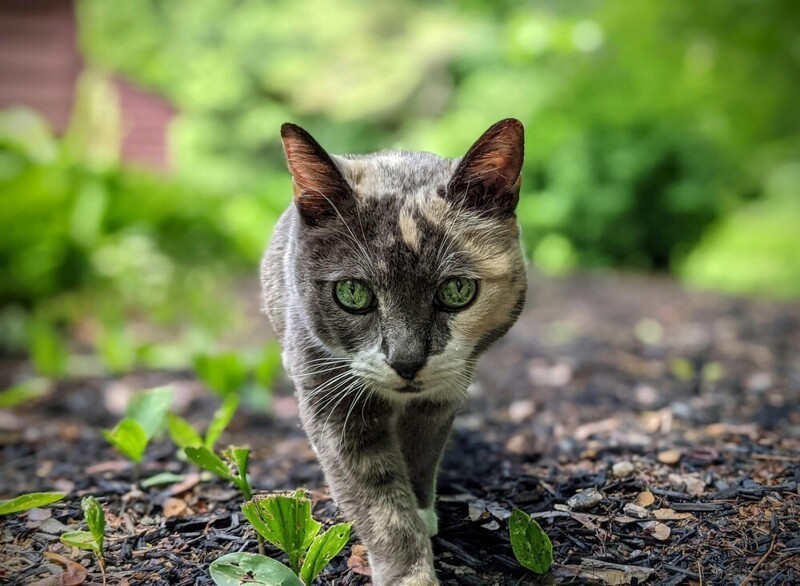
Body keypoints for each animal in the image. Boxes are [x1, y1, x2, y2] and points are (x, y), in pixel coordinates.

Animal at [260, 120, 528, 584]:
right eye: (352, 293)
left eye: (457, 290)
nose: (406, 360)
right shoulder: (331, 401)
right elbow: (380, 502)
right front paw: (411, 572)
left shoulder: (444, 394)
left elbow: (422, 453)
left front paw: (423, 511)